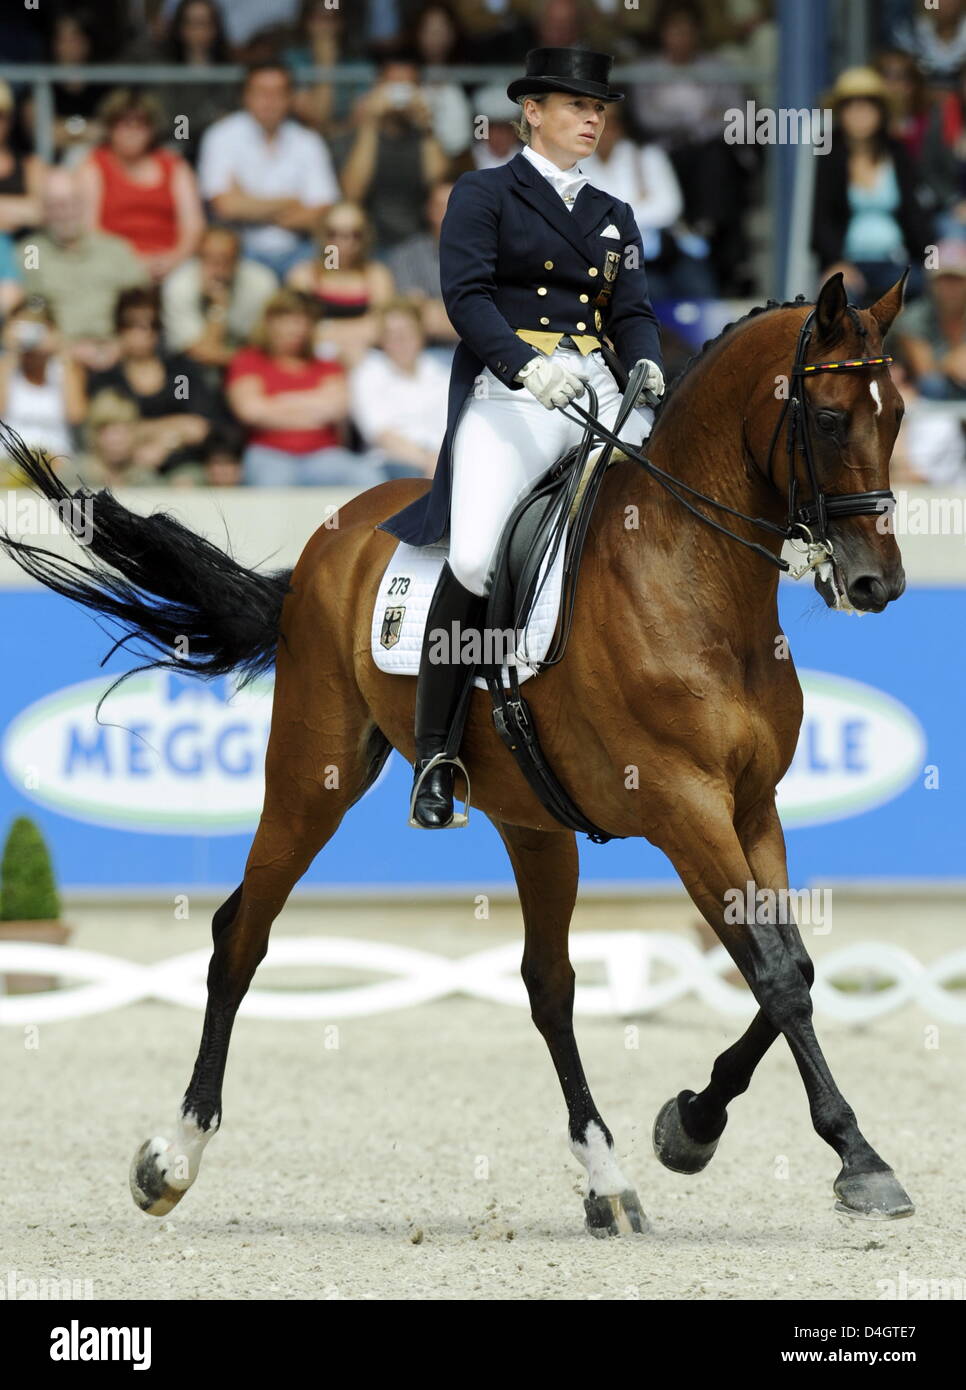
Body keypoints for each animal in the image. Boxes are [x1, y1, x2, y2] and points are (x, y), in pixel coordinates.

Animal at [0, 273, 911, 1239]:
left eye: (893, 416)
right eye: (826, 418)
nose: (877, 583)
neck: (692, 578)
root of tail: (338, 532)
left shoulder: (751, 805)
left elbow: (794, 967)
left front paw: (689, 1125)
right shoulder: (683, 805)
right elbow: (773, 971)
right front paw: (854, 1157)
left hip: (534, 823)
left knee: (549, 985)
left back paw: (607, 1179)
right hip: (311, 777)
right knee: (239, 937)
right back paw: (171, 1158)